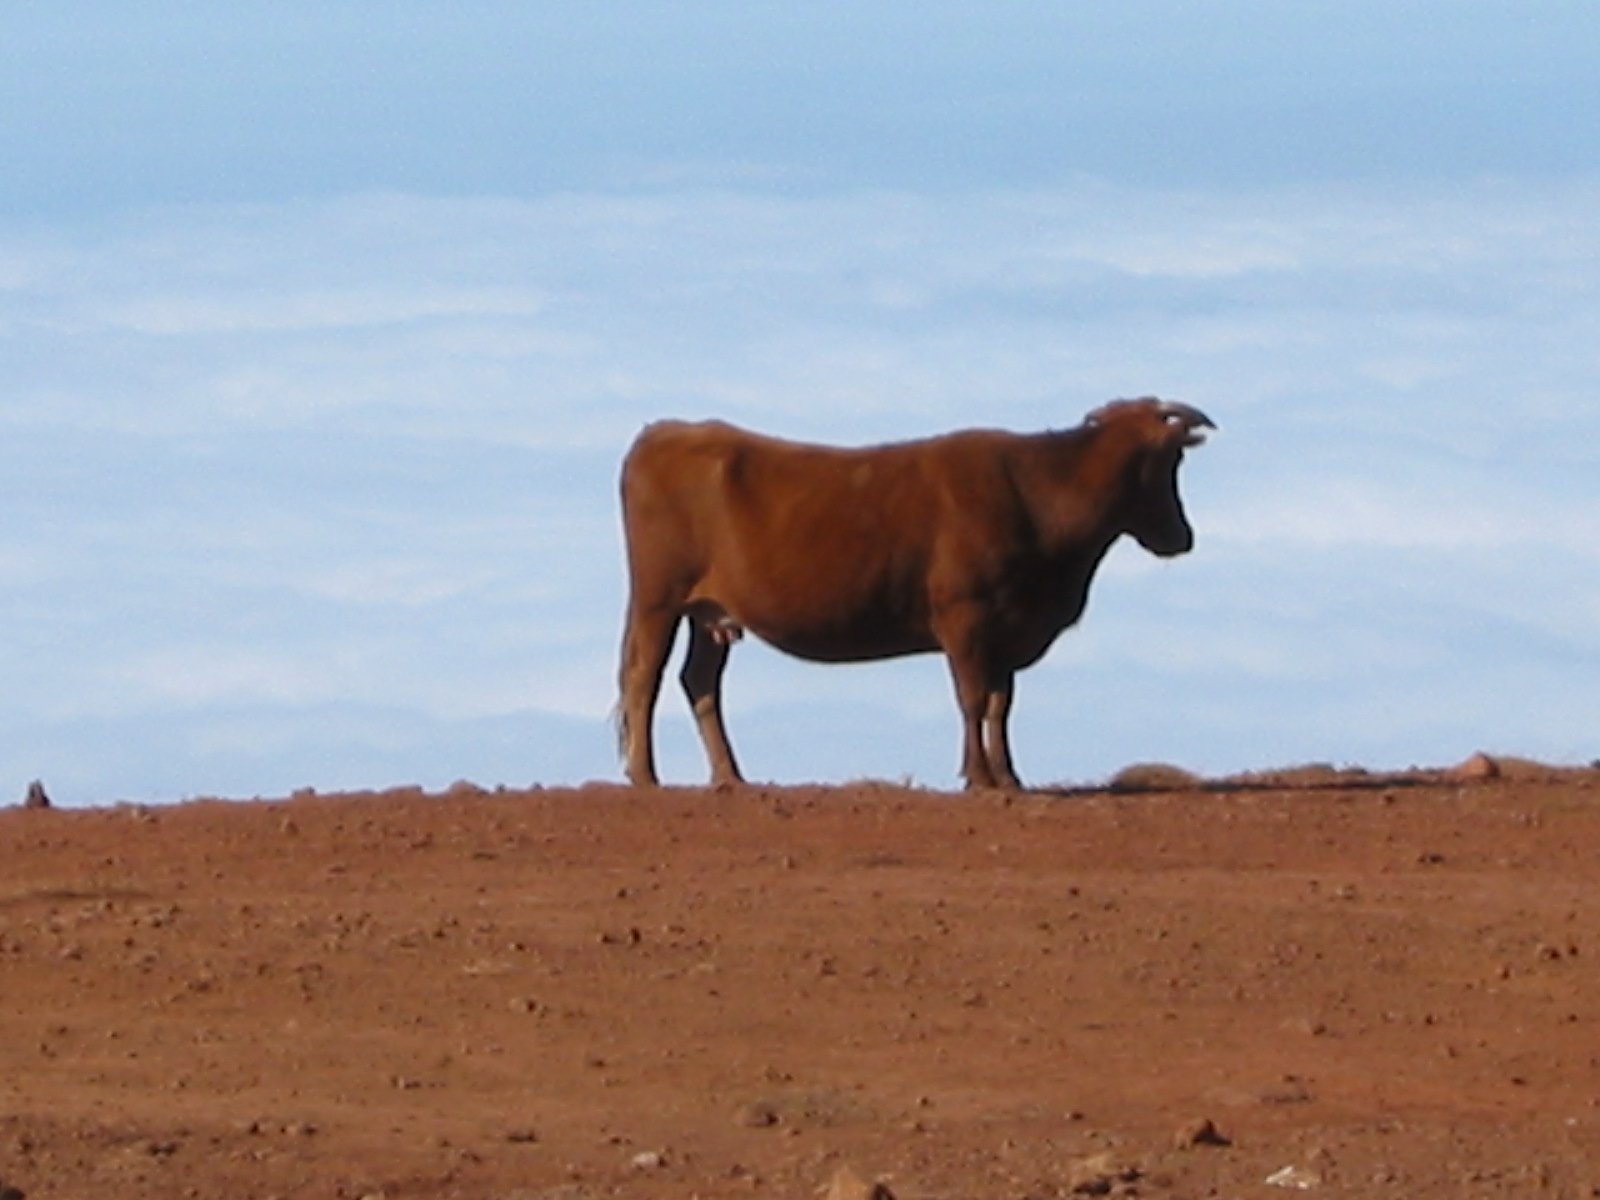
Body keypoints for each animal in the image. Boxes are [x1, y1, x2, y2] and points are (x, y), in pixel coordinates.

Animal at [611, 396, 1209, 790]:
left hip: (708, 615)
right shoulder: (965, 616)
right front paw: (979, 776)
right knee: (644, 678)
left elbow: (1000, 703)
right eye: (1170, 462)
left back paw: (730, 778)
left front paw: (1009, 776)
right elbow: (973, 699)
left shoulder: (1006, 630)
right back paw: (645, 776)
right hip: (658, 600)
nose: (1182, 537)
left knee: (699, 682)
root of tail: (667, 431)